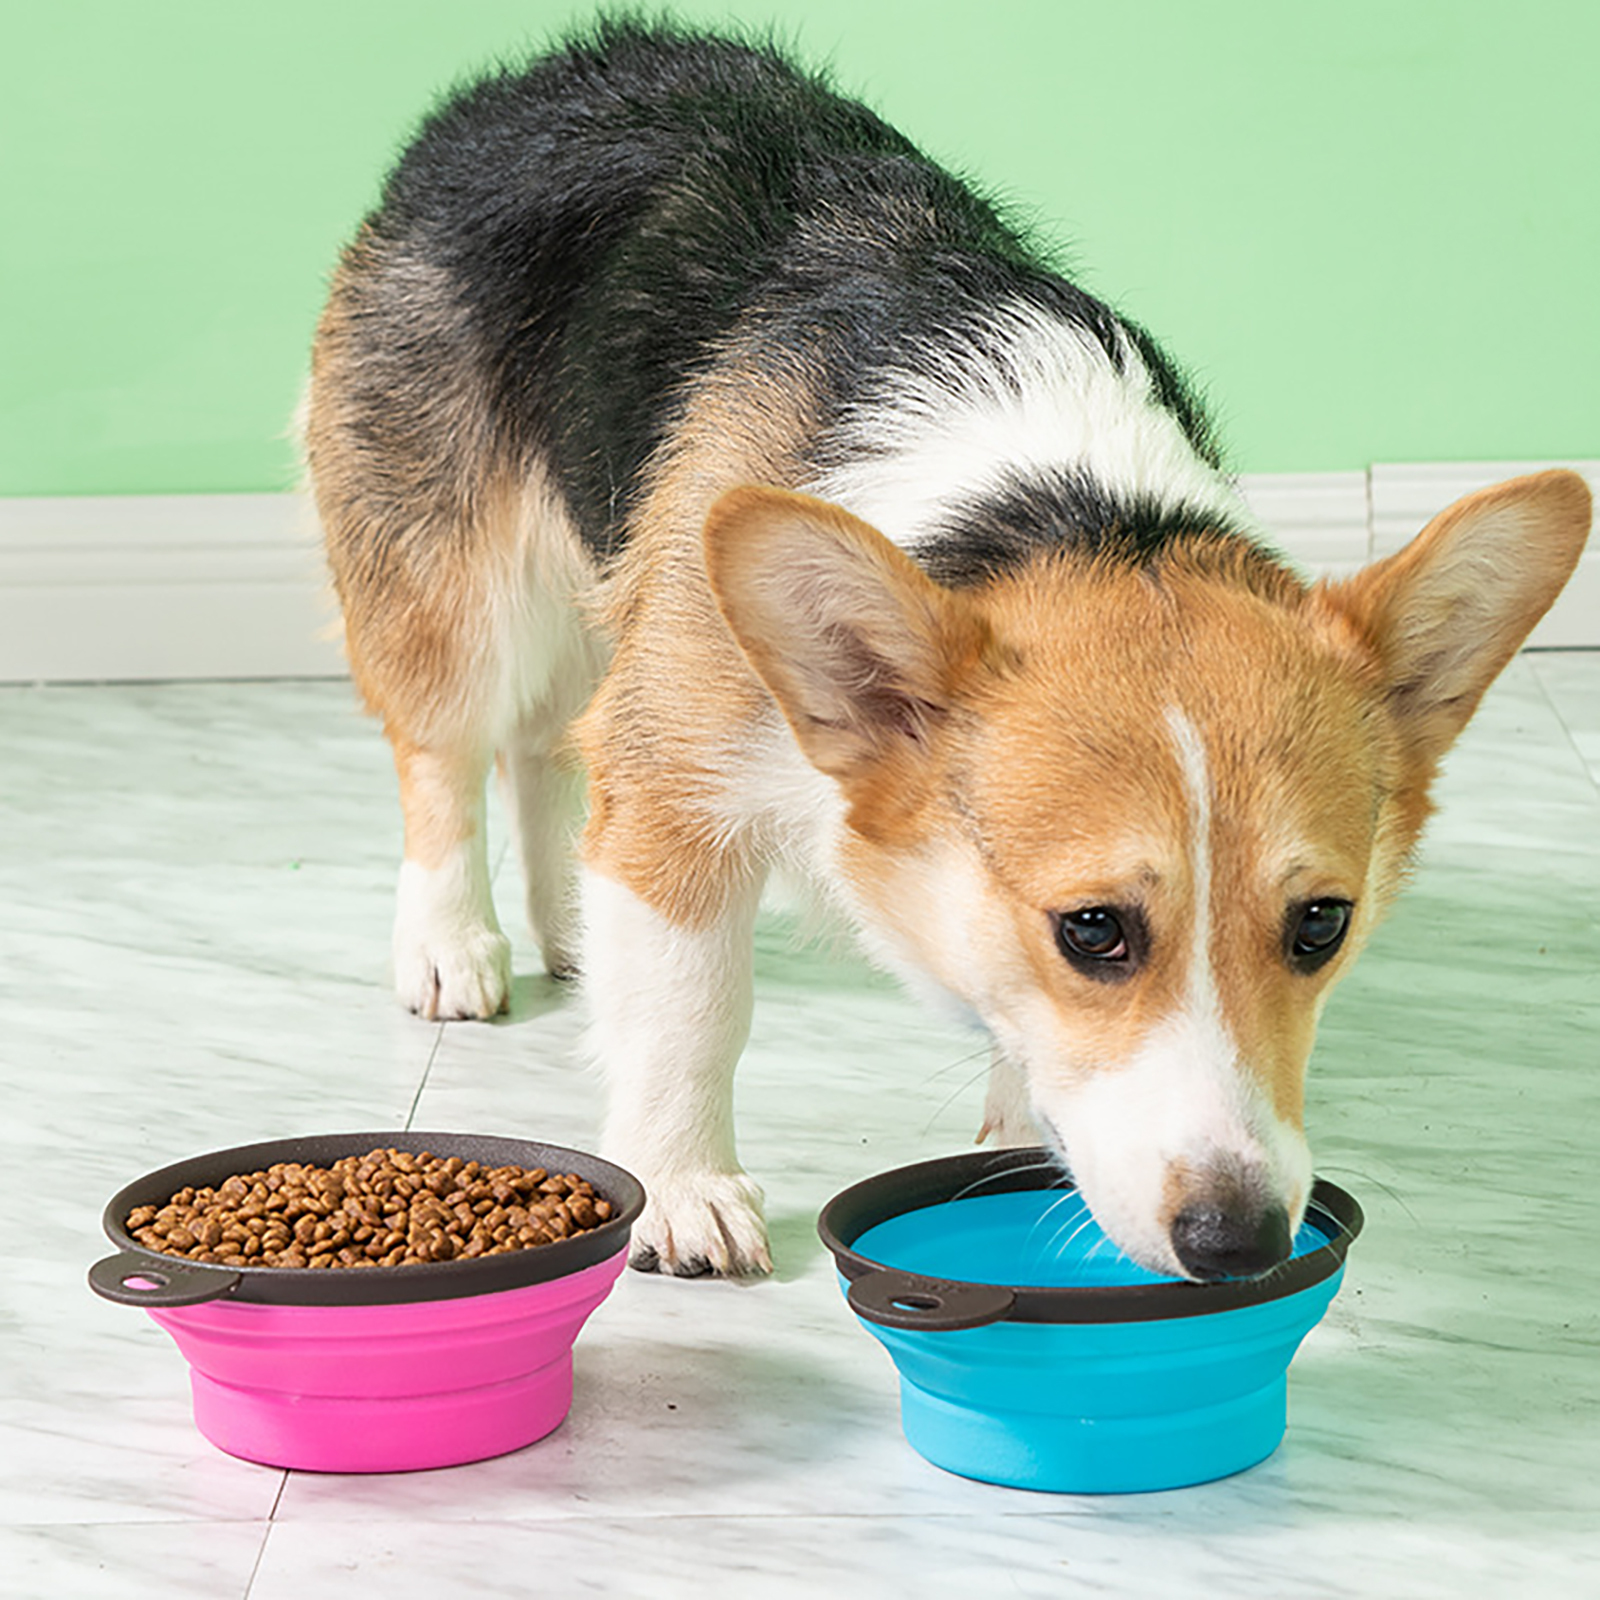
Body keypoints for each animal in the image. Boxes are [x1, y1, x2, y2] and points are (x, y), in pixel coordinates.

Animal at [302, 18, 1587, 1280]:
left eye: (1320, 923)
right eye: (1094, 931)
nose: (1239, 1245)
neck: (1062, 510)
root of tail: (546, 72)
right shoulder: (682, 781)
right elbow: (690, 1013)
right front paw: (683, 1188)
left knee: (545, 747)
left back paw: (568, 923)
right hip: (455, 594)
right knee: (447, 750)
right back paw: (453, 945)